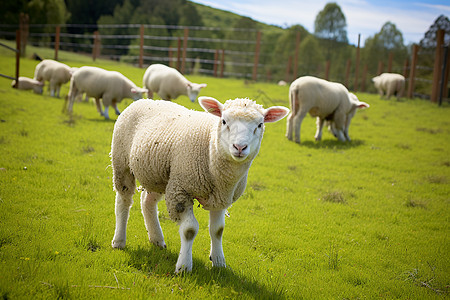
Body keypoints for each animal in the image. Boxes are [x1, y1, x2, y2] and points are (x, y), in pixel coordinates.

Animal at [110, 97, 290, 274]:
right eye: (224, 121)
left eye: (259, 125)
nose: (239, 147)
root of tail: (144, 99)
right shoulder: (181, 190)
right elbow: (189, 230)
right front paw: (184, 267)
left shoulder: (220, 197)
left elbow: (217, 230)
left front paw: (219, 262)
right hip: (122, 163)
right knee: (123, 200)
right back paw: (119, 241)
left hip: (159, 175)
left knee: (147, 202)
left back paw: (157, 239)